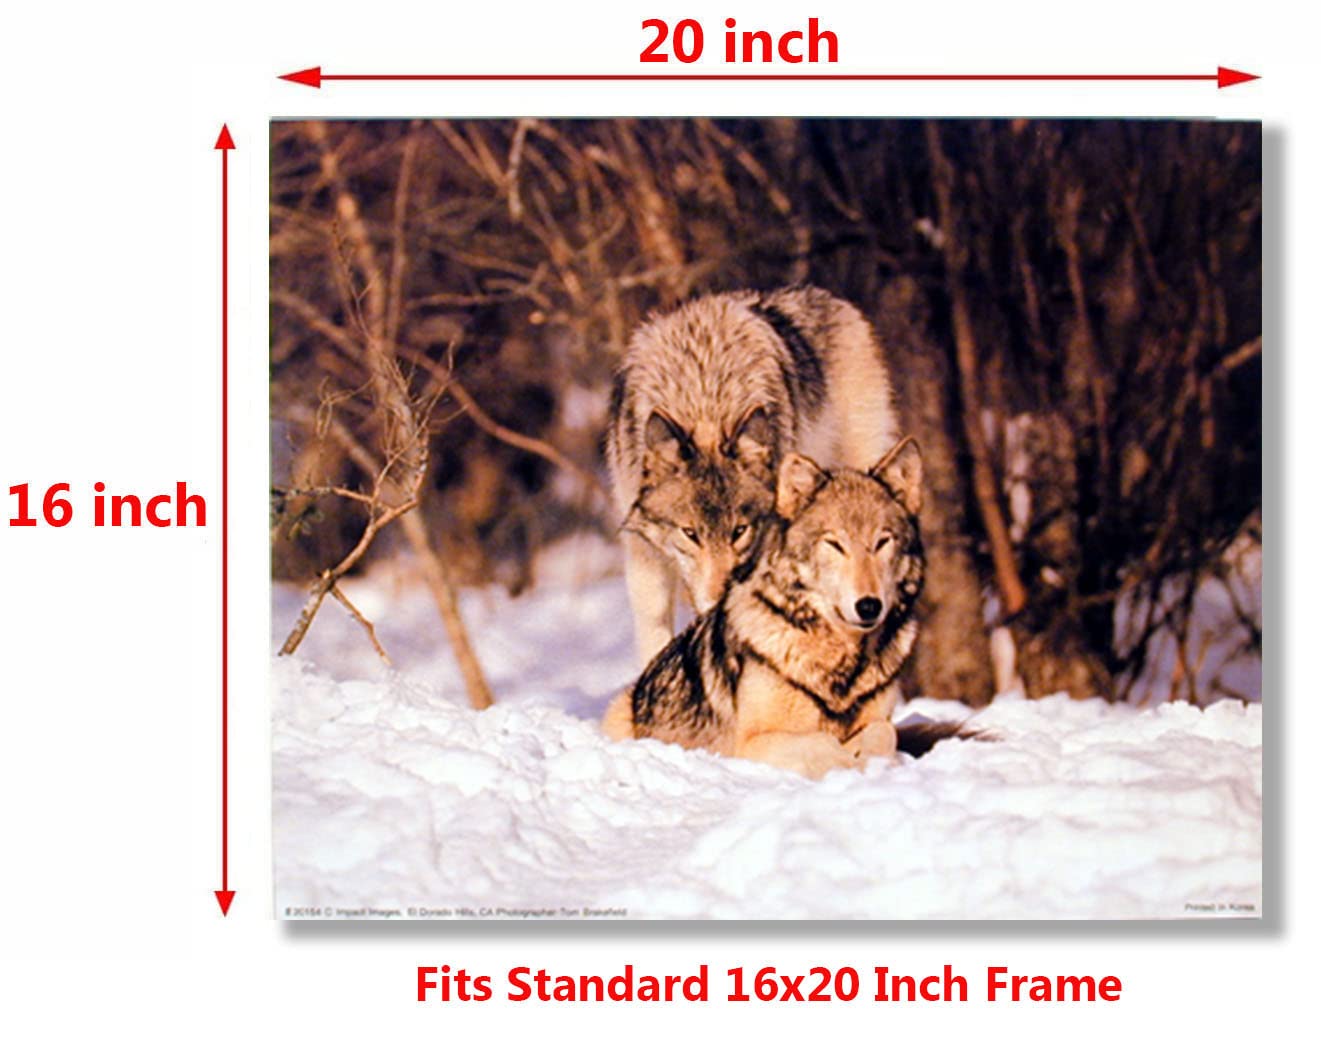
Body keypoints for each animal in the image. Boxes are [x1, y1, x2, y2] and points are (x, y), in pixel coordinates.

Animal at [603, 441, 964, 779]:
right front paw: (848, 763)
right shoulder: (747, 744)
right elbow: (823, 742)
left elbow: (884, 732)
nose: (869, 606)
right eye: (835, 544)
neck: (841, 668)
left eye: (882, 542)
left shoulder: (878, 721)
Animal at [606, 286, 898, 665]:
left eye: (740, 531)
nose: (715, 603)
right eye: (690, 534)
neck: (704, 400)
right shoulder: (644, 560)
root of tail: (827, 296)